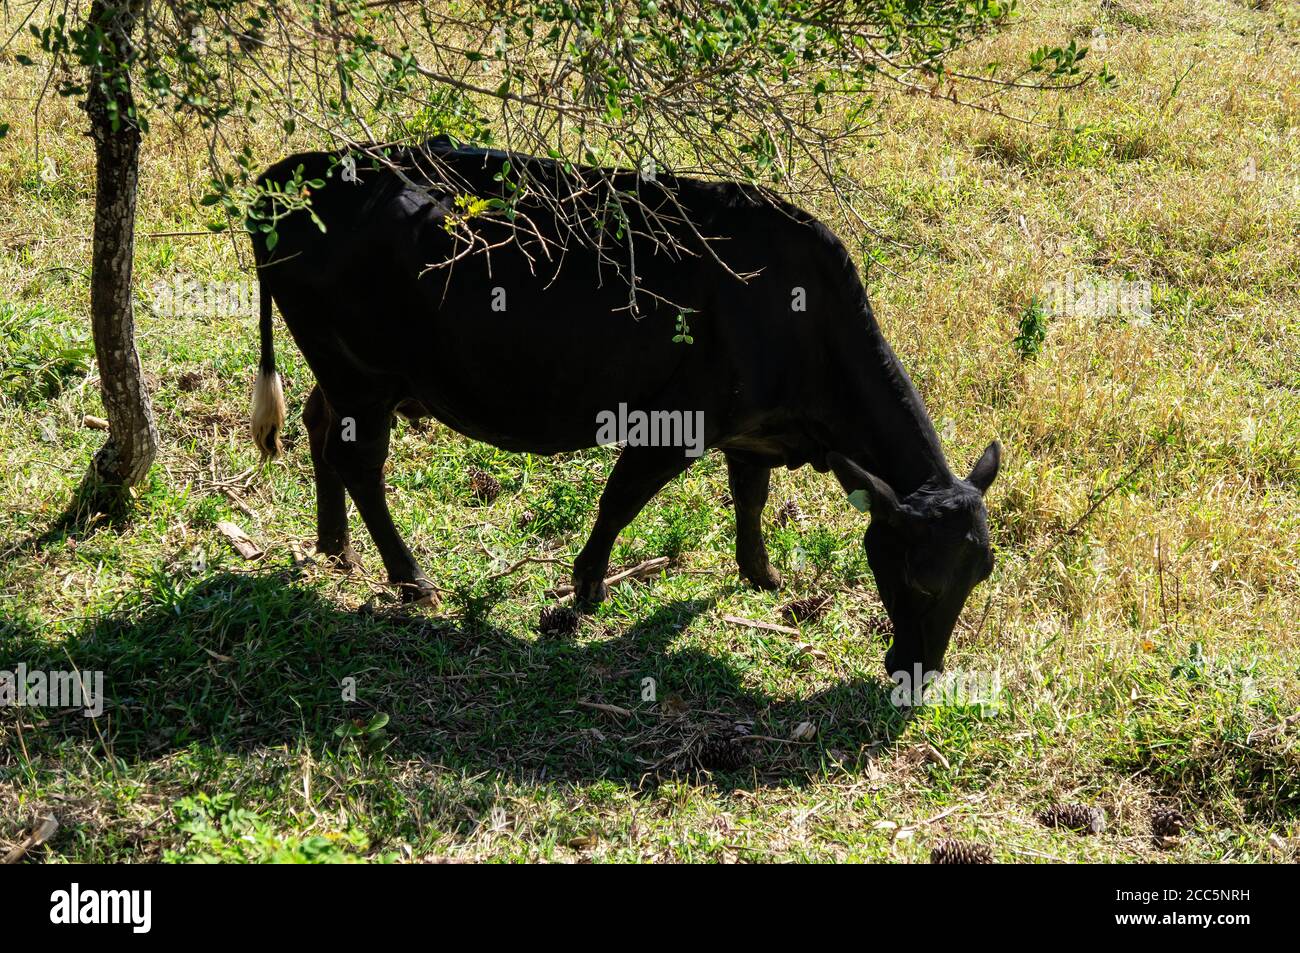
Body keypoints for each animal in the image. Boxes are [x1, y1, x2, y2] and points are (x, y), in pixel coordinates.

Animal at [245, 139, 993, 676]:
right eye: (920, 581)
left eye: (979, 574)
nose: (921, 672)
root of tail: (285, 173)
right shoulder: (676, 422)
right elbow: (620, 501)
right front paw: (583, 591)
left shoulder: (751, 432)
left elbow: (749, 498)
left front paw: (760, 574)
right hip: (363, 375)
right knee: (359, 462)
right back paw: (410, 578)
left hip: (348, 373)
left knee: (318, 427)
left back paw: (334, 546)